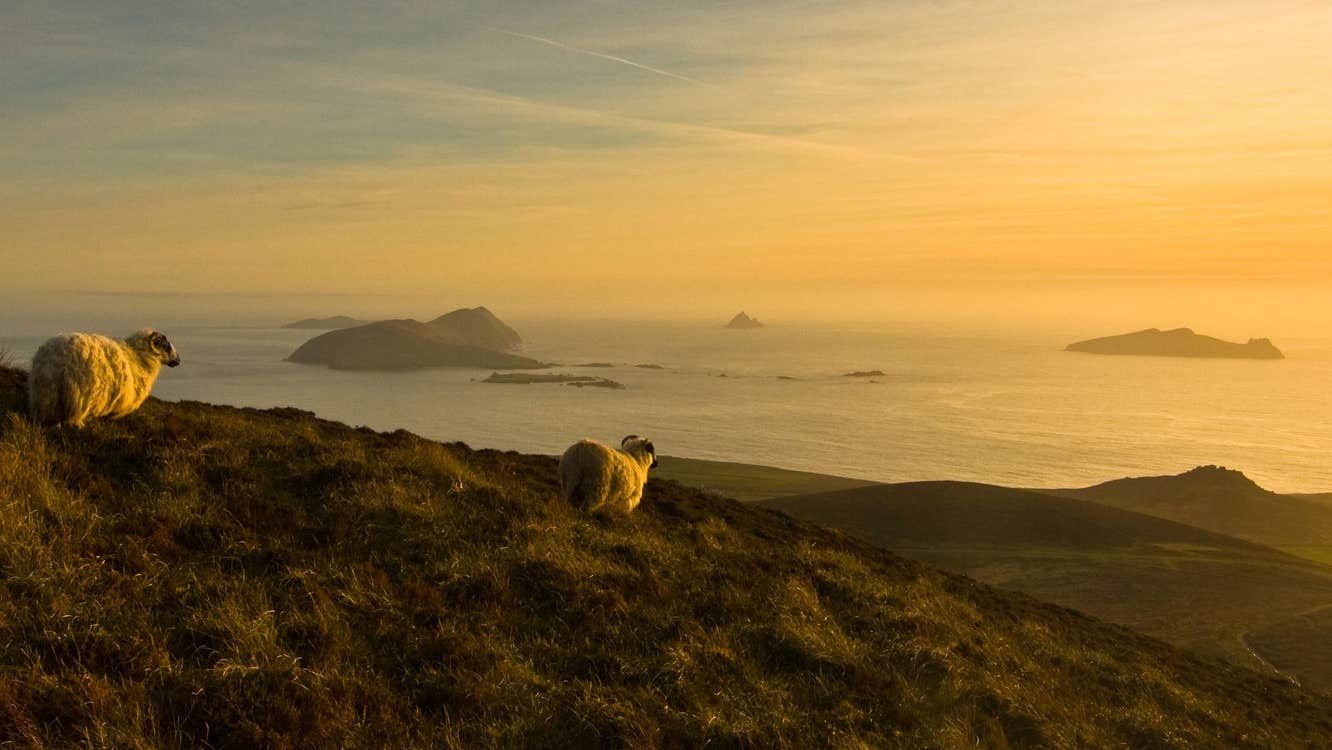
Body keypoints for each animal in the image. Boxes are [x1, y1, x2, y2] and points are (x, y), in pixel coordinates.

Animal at [29, 330, 182, 428]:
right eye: (165, 346)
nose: (178, 360)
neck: (138, 359)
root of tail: (51, 365)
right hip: (77, 398)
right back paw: (78, 424)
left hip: (46, 398)